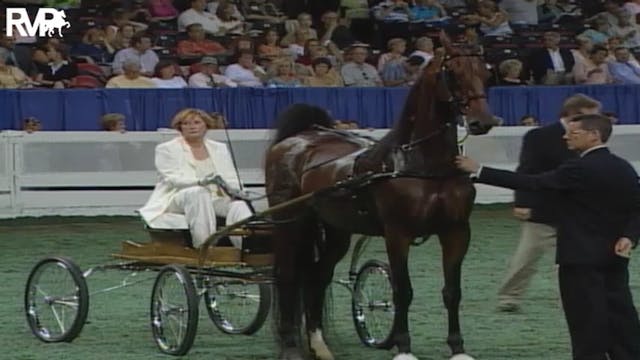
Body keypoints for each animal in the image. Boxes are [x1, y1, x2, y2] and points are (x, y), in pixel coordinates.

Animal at [264, 34, 500, 360]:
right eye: (452, 73)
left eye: (487, 73)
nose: (482, 121)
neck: (422, 165)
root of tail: (298, 139)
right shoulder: (397, 234)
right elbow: (403, 291)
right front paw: (403, 346)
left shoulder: (456, 231)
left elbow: (452, 292)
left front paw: (457, 348)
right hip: (290, 222)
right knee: (287, 275)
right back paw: (290, 346)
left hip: (335, 230)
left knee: (317, 276)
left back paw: (319, 345)